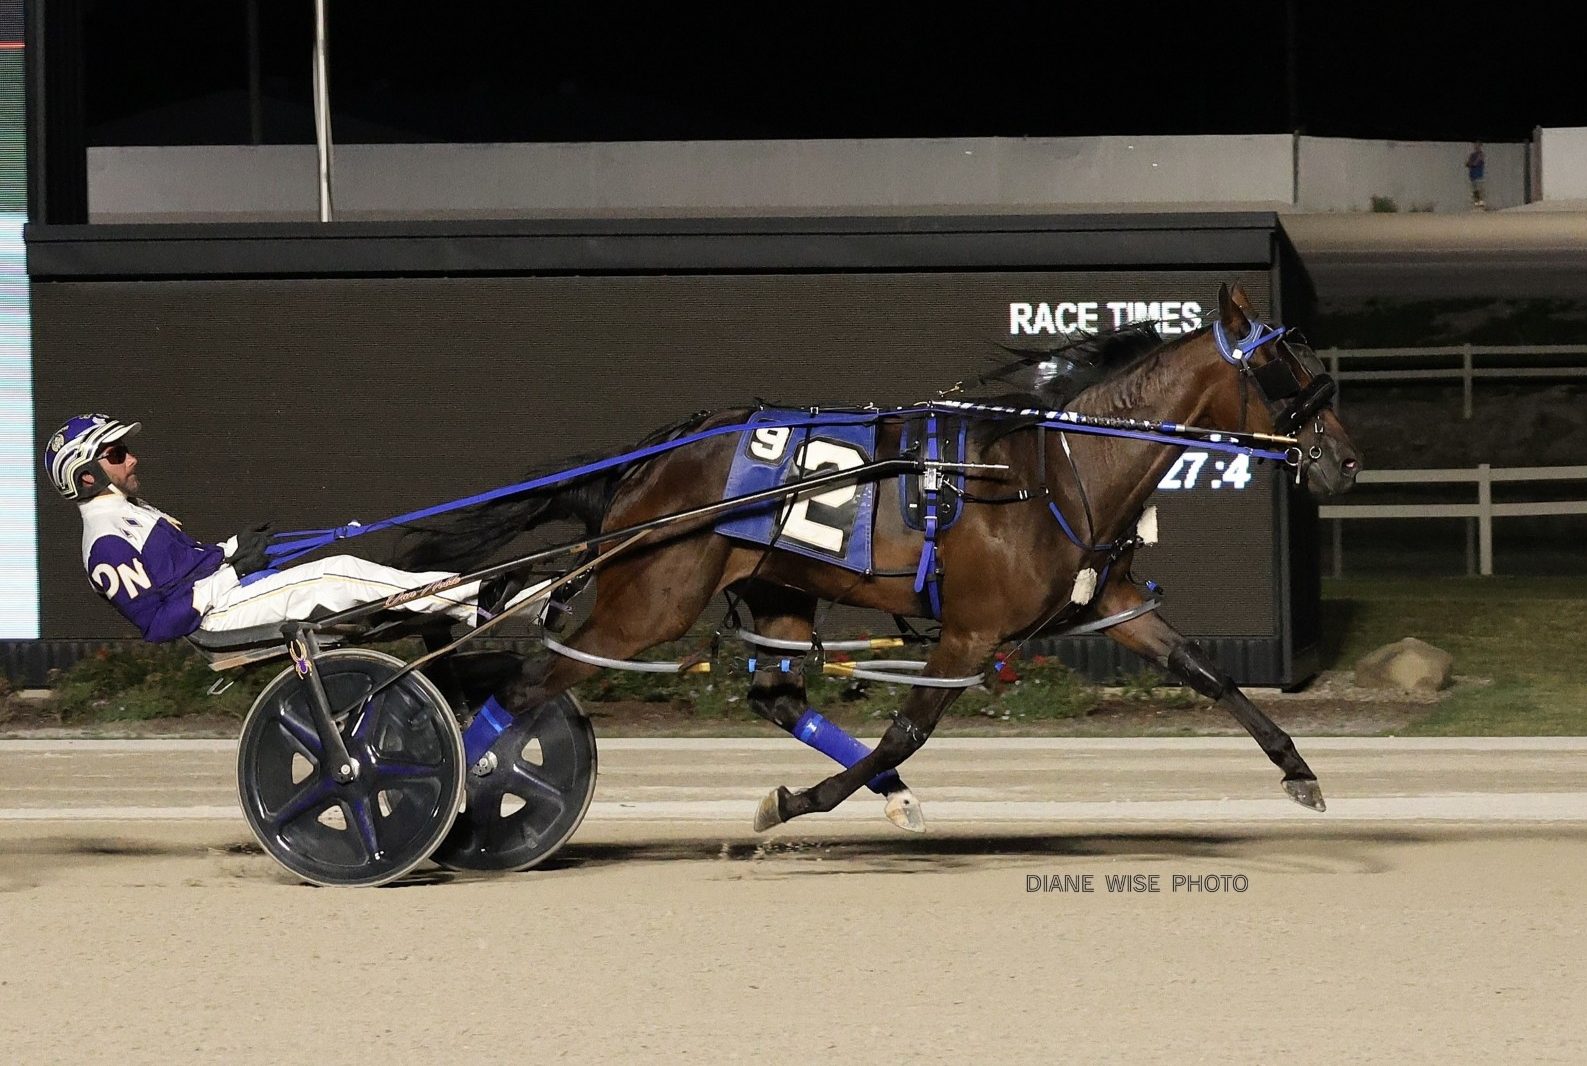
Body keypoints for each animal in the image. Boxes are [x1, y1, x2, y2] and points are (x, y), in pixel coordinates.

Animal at [397, 283, 1361, 833]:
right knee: (530, 682)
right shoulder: (970, 631)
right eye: (1287, 368)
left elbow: (1207, 672)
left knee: (777, 697)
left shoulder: (1106, 605)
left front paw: (1299, 772)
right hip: (649, 604)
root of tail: (647, 462)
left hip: (775, 588)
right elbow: (911, 726)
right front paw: (793, 803)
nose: (1344, 462)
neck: (1061, 471)